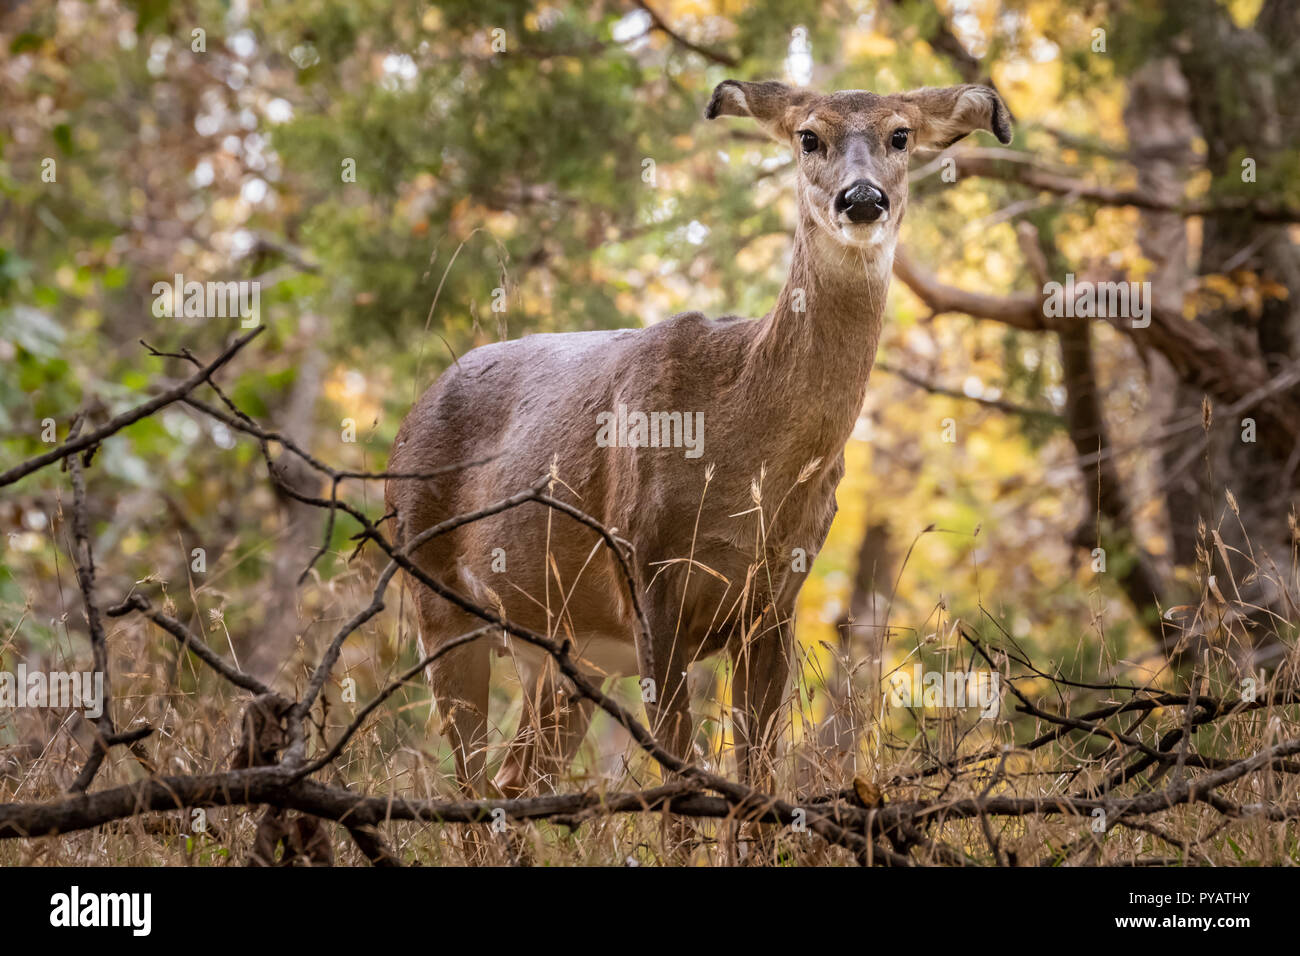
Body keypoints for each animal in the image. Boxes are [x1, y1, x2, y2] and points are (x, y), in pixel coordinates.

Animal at [386, 79, 1011, 802]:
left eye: (901, 134)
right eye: (808, 136)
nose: (861, 198)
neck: (746, 451)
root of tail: (410, 418)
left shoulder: (777, 600)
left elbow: (760, 779)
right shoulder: (646, 572)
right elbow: (681, 786)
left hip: (564, 648)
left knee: (516, 779)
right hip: (435, 593)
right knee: (467, 783)